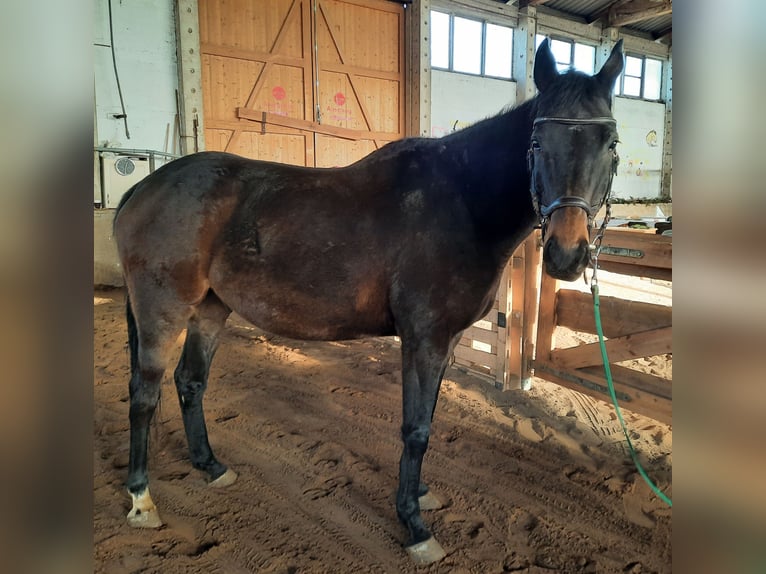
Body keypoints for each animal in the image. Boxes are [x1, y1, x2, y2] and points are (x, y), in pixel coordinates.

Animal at [113, 38, 623, 564]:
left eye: (609, 143)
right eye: (537, 143)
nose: (566, 255)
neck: (461, 201)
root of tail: (143, 187)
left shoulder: (444, 343)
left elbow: (427, 418)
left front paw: (419, 496)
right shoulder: (424, 339)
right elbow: (416, 428)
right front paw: (414, 524)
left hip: (211, 308)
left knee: (190, 382)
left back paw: (210, 466)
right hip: (161, 311)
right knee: (144, 394)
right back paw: (141, 498)